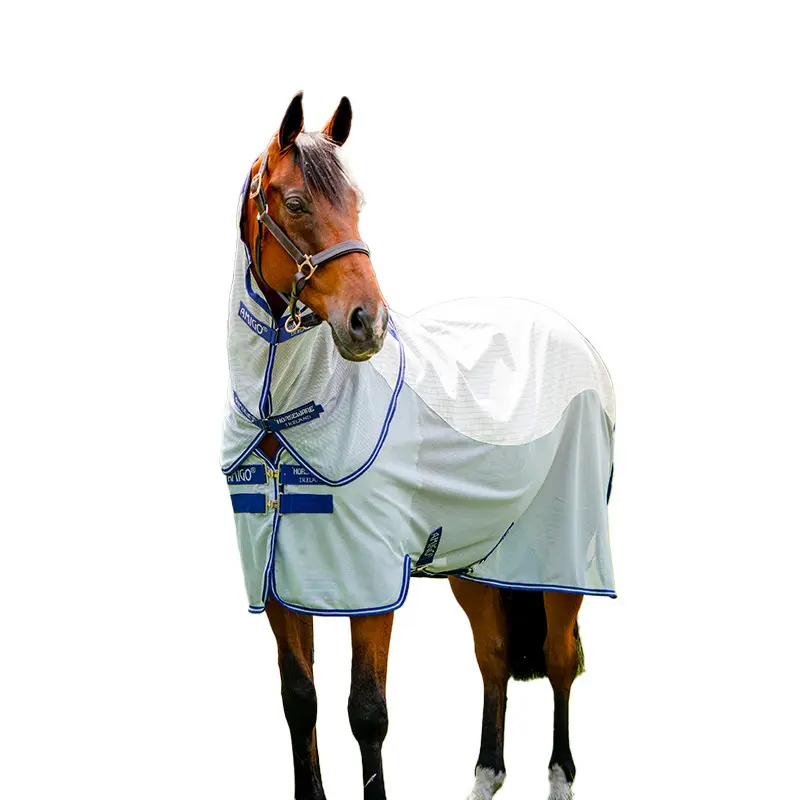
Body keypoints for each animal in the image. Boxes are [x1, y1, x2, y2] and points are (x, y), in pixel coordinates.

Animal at [222, 91, 616, 800]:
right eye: (294, 202)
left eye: (358, 201)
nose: (366, 322)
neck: (284, 415)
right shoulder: (279, 581)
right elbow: (300, 701)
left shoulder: (370, 576)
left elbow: (367, 713)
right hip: (478, 561)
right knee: (493, 657)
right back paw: (485, 775)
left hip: (564, 559)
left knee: (557, 660)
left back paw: (560, 778)